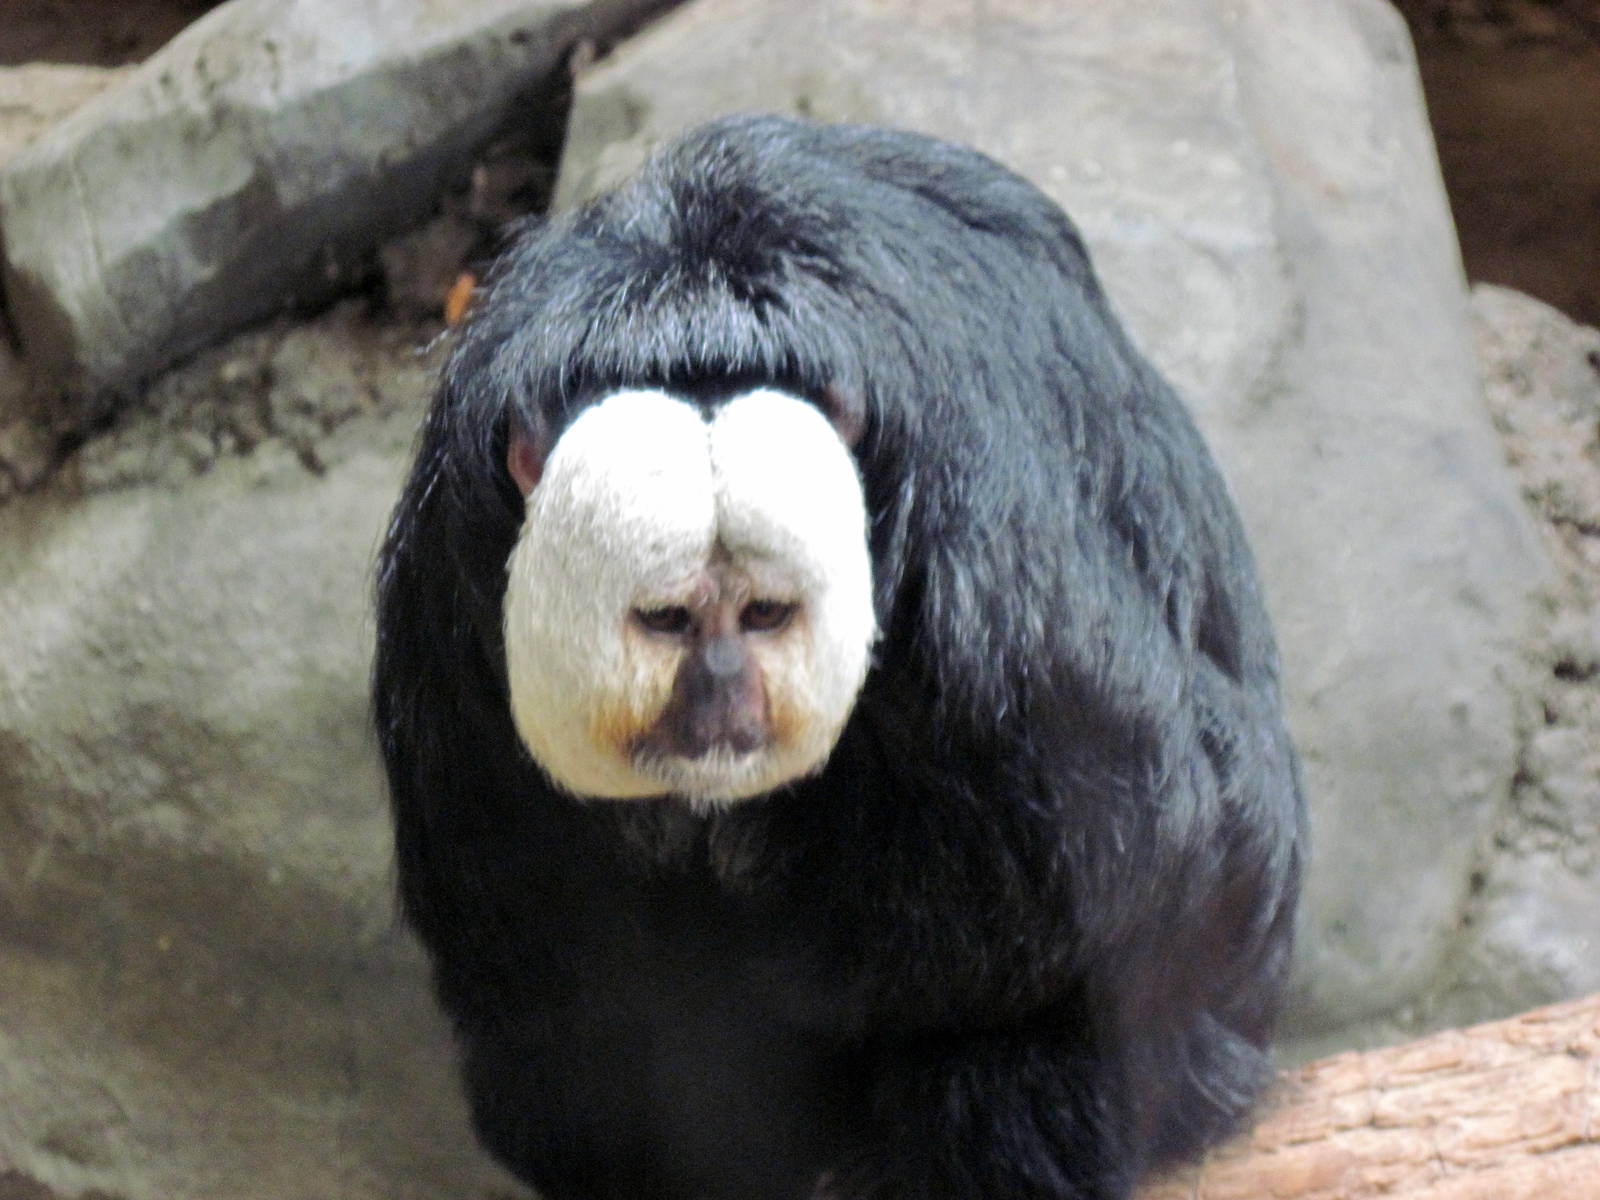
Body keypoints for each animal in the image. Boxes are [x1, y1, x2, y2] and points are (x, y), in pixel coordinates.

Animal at [373, 113, 1305, 1200]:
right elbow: (524, 947)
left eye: (764, 614)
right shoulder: (452, 572)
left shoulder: (982, 568)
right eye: (670, 620)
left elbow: (1144, 845)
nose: (719, 697)